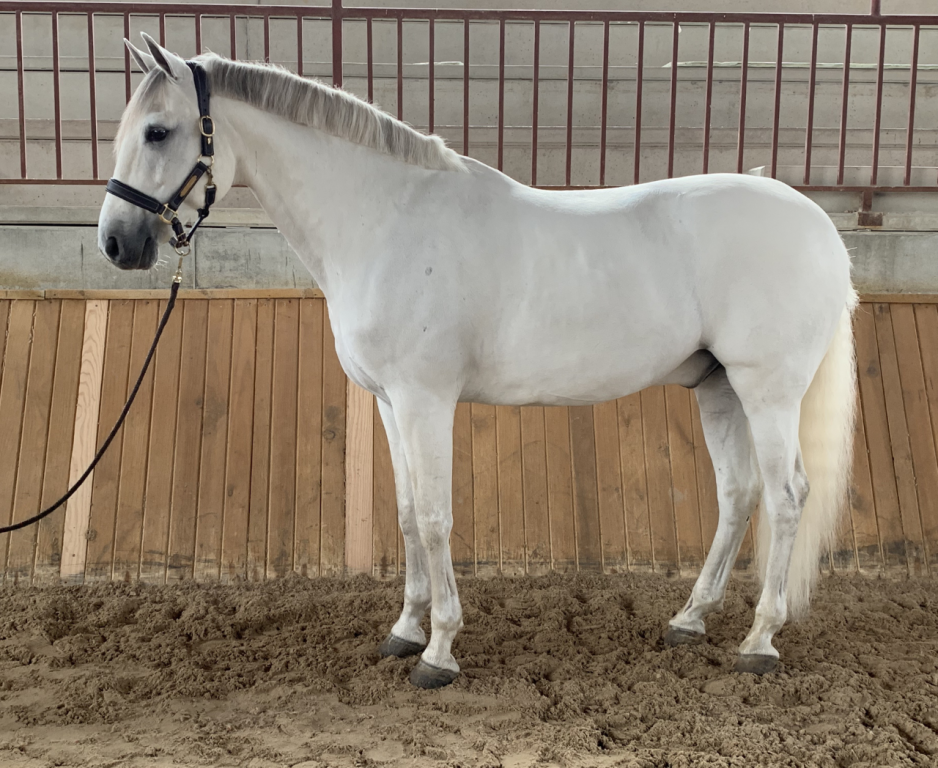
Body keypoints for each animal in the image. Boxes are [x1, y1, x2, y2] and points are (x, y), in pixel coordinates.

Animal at [98, 33, 857, 689]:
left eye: (158, 132)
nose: (116, 243)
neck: (387, 220)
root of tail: (817, 224)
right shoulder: (389, 402)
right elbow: (407, 514)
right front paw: (404, 631)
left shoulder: (425, 399)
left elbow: (437, 518)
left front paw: (438, 652)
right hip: (718, 387)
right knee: (739, 495)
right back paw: (689, 621)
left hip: (767, 391)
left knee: (787, 496)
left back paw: (758, 641)